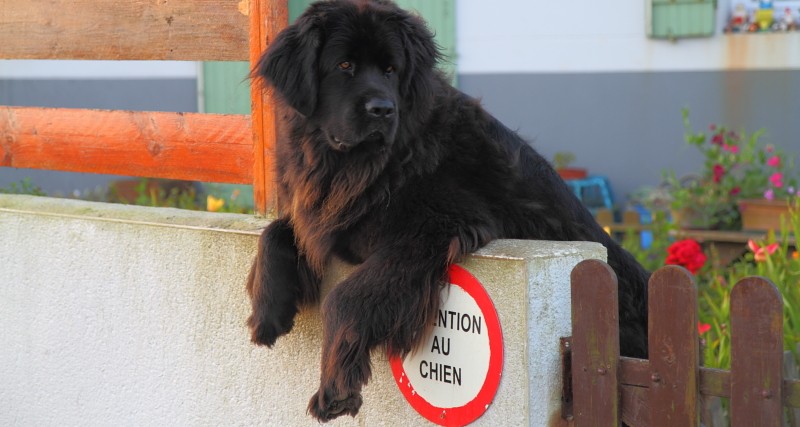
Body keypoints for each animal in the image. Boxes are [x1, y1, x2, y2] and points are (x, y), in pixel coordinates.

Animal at [245, 0, 648, 422]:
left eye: (391, 70)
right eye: (344, 65)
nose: (382, 109)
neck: (360, 166)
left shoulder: (435, 226)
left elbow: (345, 297)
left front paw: (336, 386)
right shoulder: (330, 216)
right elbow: (274, 231)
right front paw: (268, 309)